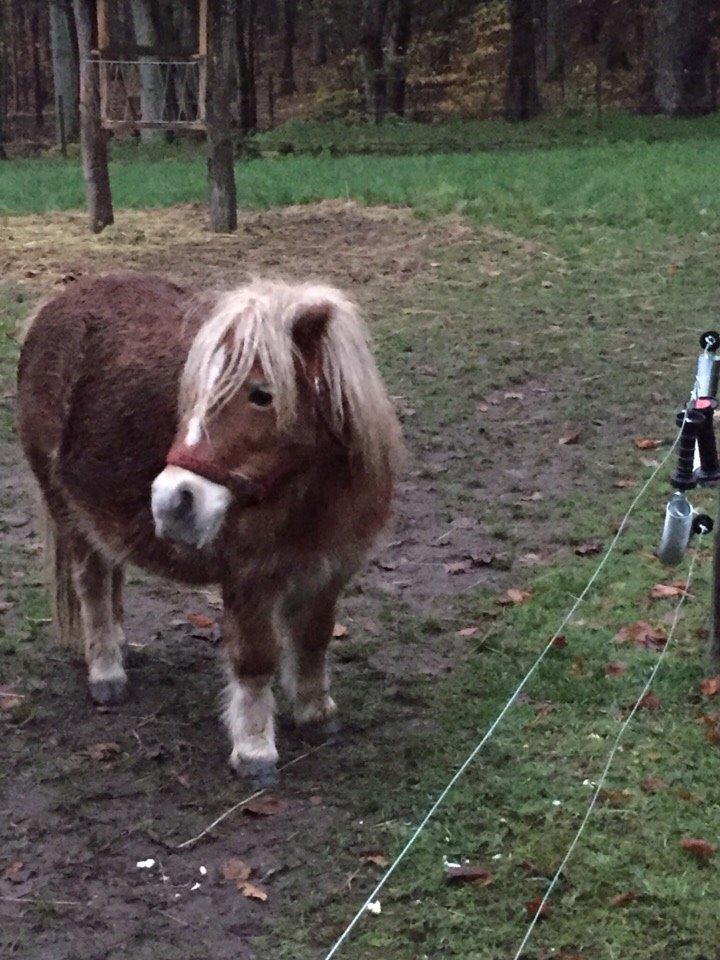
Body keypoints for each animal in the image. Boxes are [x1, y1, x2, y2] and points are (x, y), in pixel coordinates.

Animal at [16, 274, 402, 784]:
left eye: (261, 394)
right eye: (193, 391)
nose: (172, 501)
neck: (309, 493)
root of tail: (51, 307)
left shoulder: (329, 569)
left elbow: (314, 639)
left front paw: (316, 714)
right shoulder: (249, 576)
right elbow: (255, 658)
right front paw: (255, 750)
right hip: (69, 513)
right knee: (93, 585)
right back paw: (106, 672)